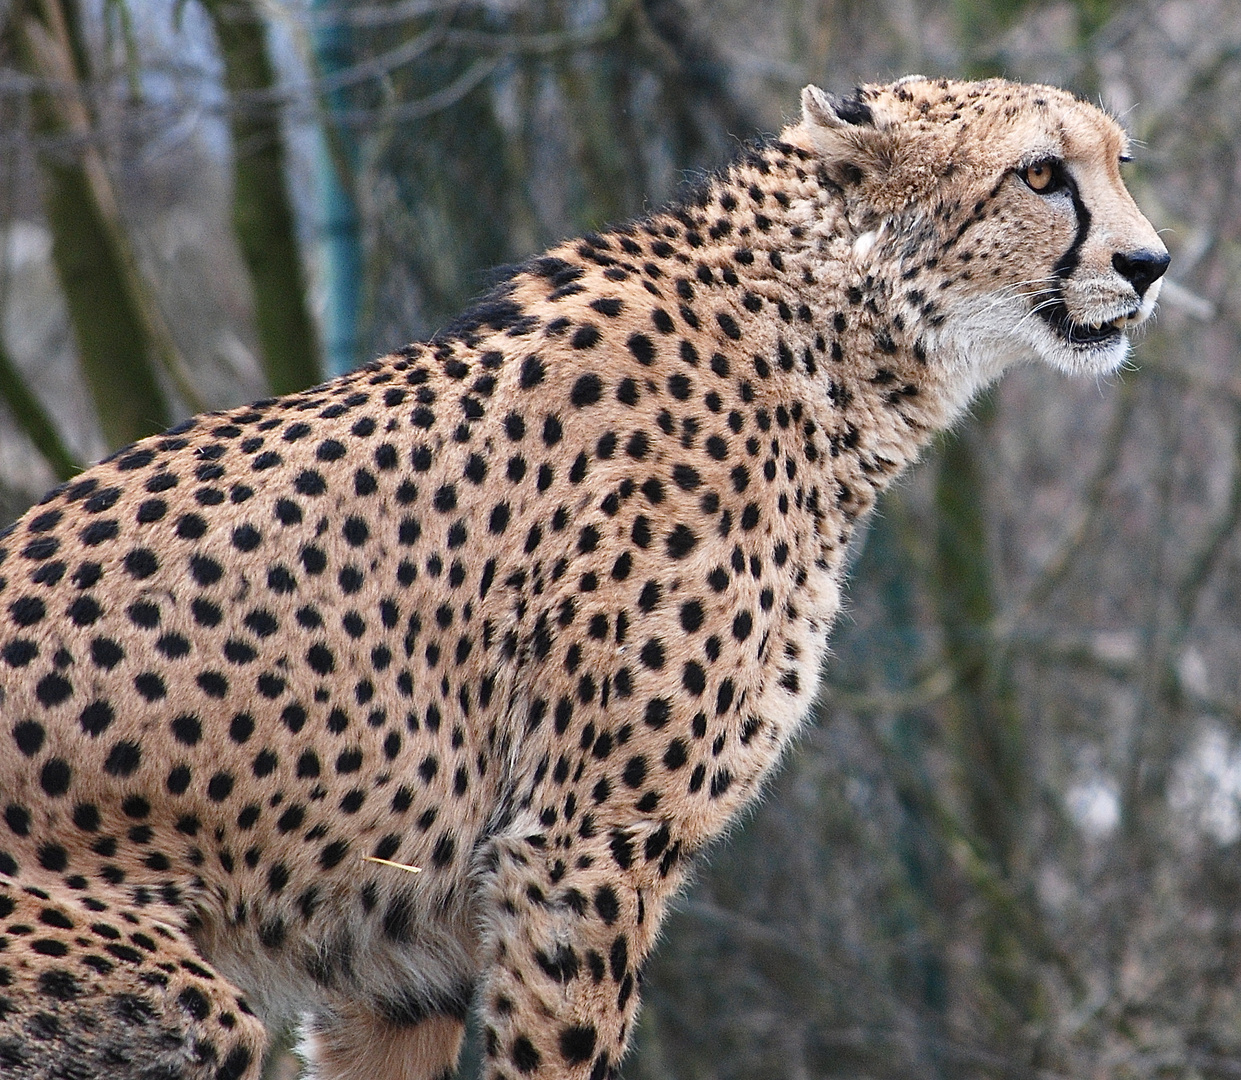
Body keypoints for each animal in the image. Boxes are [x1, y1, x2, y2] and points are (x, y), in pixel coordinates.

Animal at [0, 78, 1161, 1080]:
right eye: (1040, 174)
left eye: (1118, 162)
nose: (1149, 262)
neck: (818, 350)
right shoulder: (580, 849)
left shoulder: (405, 943)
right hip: (173, 1007)